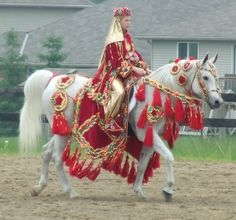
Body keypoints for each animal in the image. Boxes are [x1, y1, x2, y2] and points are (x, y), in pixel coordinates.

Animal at [19, 54, 222, 200]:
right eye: (205, 77)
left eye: (216, 77)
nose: (218, 101)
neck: (154, 94)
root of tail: (54, 79)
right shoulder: (147, 133)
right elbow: (169, 157)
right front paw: (168, 190)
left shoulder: (150, 136)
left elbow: (142, 164)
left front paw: (139, 191)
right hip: (62, 133)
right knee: (57, 158)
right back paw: (70, 192)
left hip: (62, 131)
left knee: (46, 152)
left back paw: (39, 187)